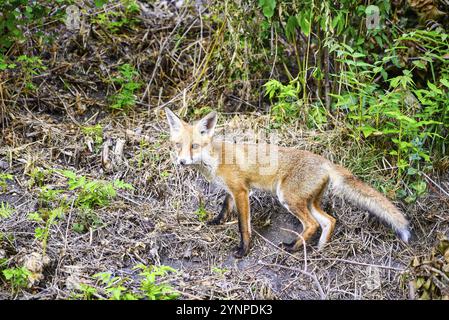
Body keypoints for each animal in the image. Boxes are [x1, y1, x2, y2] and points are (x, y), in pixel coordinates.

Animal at [164, 107, 410, 258]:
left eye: (194, 146)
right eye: (178, 145)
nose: (182, 162)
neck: (215, 159)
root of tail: (325, 161)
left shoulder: (242, 191)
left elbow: (244, 226)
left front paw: (244, 250)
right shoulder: (234, 190)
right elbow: (225, 207)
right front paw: (217, 222)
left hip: (288, 197)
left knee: (311, 224)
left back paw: (292, 247)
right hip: (309, 201)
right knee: (329, 221)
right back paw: (319, 248)